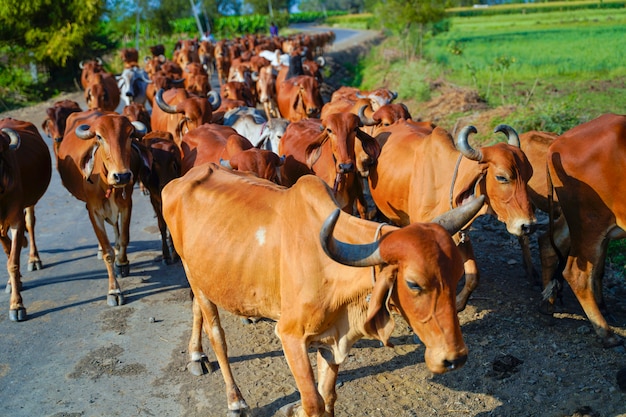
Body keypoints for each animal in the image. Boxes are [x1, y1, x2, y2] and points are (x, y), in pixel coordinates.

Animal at [0, 118, 51, 320]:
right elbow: (8, 250)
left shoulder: (16, 219)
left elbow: (12, 263)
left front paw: (16, 305)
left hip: (31, 201)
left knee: (30, 222)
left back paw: (33, 259)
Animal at [56, 110, 147, 306]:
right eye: (99, 137)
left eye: (130, 134)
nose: (122, 176)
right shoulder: (94, 212)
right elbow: (107, 252)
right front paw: (114, 290)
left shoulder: (126, 205)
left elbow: (124, 239)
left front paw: (122, 263)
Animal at [162, 162, 482, 416]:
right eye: (414, 283)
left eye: (457, 276)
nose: (455, 358)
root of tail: (178, 182)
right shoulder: (290, 335)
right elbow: (313, 402)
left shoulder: (331, 338)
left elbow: (327, 396)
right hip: (194, 277)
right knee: (217, 334)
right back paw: (235, 400)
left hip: (202, 275)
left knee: (196, 308)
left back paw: (196, 356)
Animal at [368, 122, 532, 310]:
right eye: (501, 177)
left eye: (529, 175)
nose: (527, 225)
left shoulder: (461, 232)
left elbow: (474, 275)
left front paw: (459, 302)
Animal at [540, 112, 624, 346]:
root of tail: (557, 144)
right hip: (591, 223)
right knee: (576, 274)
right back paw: (606, 333)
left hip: (579, 221)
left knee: (548, 244)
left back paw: (547, 307)